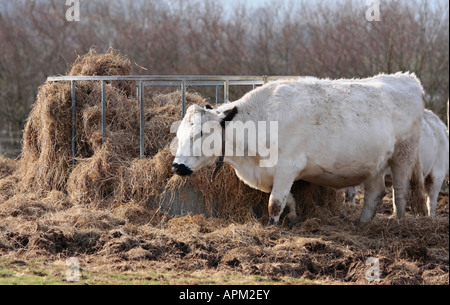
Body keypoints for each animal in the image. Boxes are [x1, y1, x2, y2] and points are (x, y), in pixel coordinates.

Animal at [171, 71, 426, 223]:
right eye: (179, 134)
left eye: (201, 133)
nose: (177, 166)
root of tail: (407, 78)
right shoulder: (276, 174)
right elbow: (287, 199)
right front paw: (293, 218)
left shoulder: (287, 166)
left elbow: (274, 204)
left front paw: (272, 226)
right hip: (375, 164)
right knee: (375, 193)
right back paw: (362, 223)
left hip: (403, 154)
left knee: (399, 192)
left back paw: (398, 222)